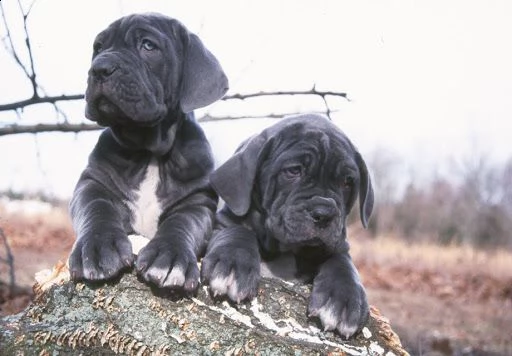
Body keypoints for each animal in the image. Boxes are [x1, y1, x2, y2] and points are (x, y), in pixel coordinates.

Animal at [69, 12, 229, 294]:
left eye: (148, 45)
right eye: (98, 47)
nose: (99, 67)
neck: (149, 152)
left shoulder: (197, 202)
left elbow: (181, 223)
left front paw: (170, 257)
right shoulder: (92, 182)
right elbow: (97, 209)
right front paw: (98, 247)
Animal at [202, 114, 374, 340]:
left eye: (347, 182)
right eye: (293, 171)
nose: (324, 212)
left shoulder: (338, 246)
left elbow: (342, 262)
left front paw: (344, 299)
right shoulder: (222, 222)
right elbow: (236, 231)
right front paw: (232, 264)